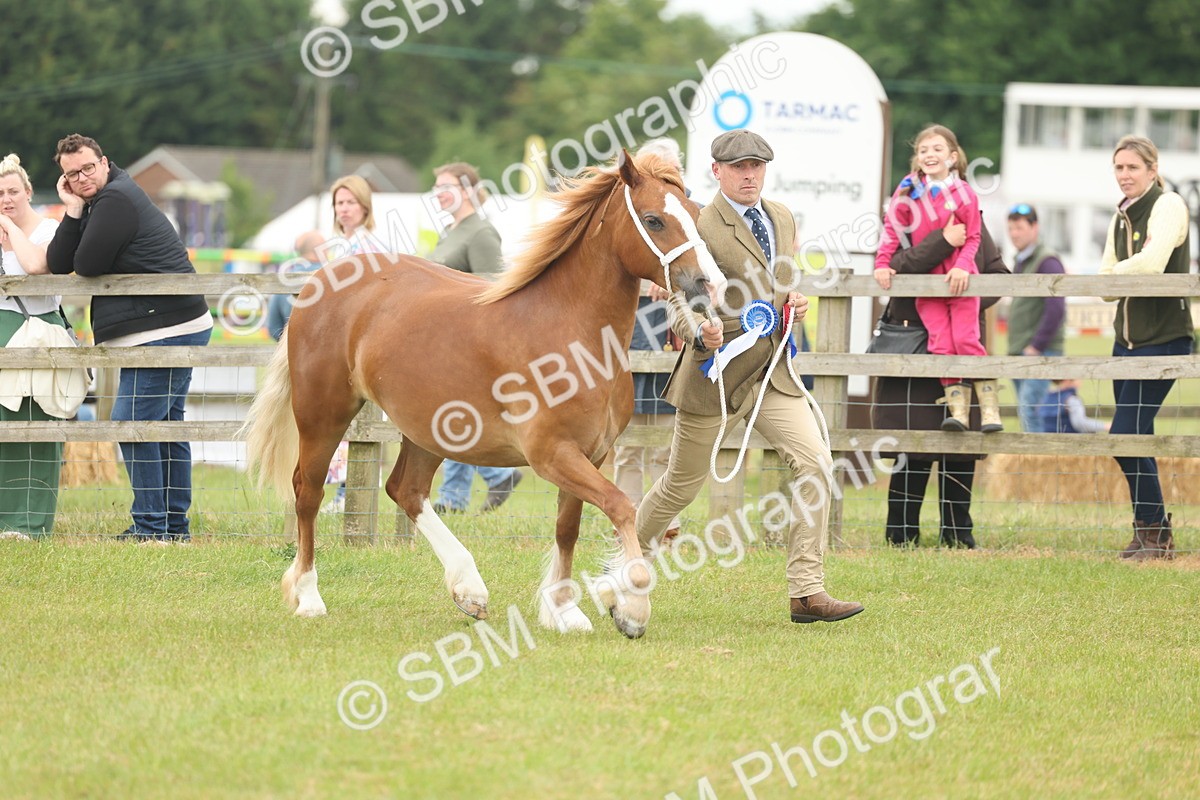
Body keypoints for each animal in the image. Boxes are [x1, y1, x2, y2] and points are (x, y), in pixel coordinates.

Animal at [242, 152, 726, 638]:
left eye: (696, 214)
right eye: (653, 220)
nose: (710, 285)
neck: (571, 332)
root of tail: (319, 282)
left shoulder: (591, 453)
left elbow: (567, 528)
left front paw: (564, 609)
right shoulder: (552, 454)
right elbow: (621, 507)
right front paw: (631, 608)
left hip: (429, 430)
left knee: (406, 489)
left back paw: (468, 589)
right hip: (323, 415)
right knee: (308, 493)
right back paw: (309, 597)